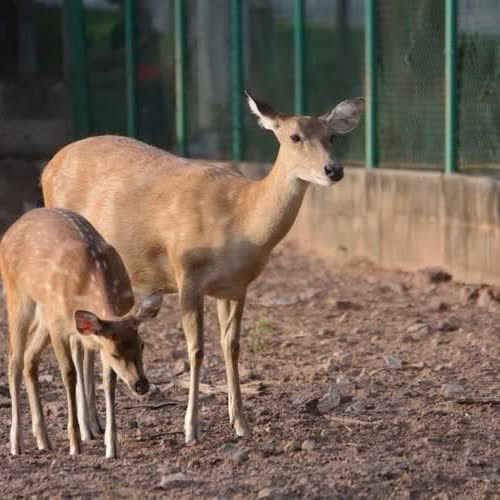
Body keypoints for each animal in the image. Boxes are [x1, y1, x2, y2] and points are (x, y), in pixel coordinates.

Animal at [0, 208, 163, 457]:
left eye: (142, 345)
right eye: (115, 354)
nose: (141, 385)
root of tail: (9, 230)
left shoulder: (91, 335)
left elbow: (109, 381)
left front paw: (111, 447)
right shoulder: (59, 327)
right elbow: (69, 374)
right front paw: (75, 444)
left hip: (44, 314)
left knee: (29, 359)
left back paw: (43, 439)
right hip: (18, 297)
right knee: (14, 362)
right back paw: (16, 444)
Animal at [41, 93, 364, 443]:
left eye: (331, 136)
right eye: (294, 136)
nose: (334, 169)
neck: (239, 221)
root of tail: (47, 167)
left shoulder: (236, 287)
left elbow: (232, 346)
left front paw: (241, 424)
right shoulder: (188, 275)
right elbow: (195, 350)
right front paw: (191, 429)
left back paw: (95, 425)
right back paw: (88, 427)